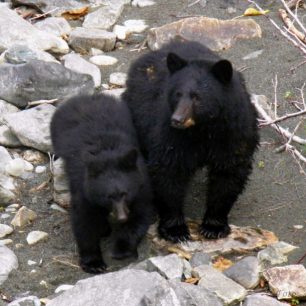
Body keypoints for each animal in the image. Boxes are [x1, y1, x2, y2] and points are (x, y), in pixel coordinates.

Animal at [50, 94, 153, 274]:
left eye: (125, 193)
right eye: (108, 196)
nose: (122, 217)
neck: (108, 154)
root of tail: (86, 96)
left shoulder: (141, 184)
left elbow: (140, 215)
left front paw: (121, 249)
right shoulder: (83, 188)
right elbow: (84, 221)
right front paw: (94, 262)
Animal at [122, 38, 258, 244]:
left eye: (197, 97)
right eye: (177, 94)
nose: (177, 120)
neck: (203, 129)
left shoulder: (234, 132)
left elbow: (229, 173)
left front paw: (213, 226)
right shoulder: (170, 134)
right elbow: (168, 172)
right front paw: (175, 230)